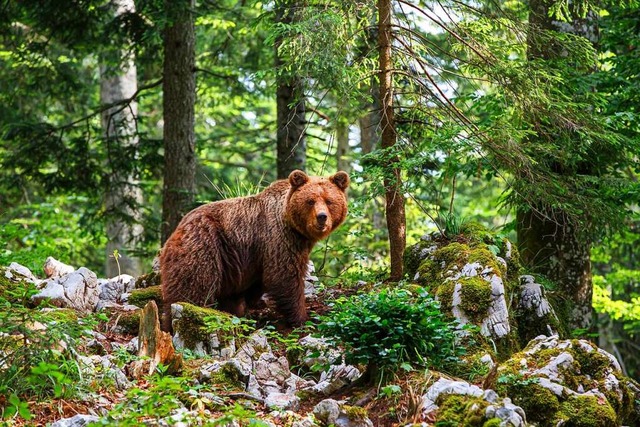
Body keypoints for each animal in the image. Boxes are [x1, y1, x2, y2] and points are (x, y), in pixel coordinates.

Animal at [160, 171, 350, 332]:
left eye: (329, 201)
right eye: (310, 201)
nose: (321, 217)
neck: (295, 229)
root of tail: (177, 230)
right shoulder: (279, 239)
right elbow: (285, 277)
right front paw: (302, 318)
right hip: (204, 245)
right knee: (193, 287)